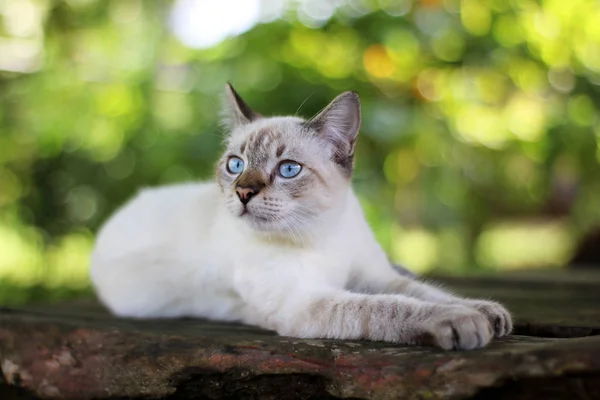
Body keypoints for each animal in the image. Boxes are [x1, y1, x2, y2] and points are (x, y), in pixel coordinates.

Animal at [89, 84, 510, 350]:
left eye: (288, 169)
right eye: (235, 165)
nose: (243, 192)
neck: (322, 233)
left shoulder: (373, 275)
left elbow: (426, 292)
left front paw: (488, 312)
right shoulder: (305, 301)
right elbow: (390, 306)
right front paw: (463, 322)